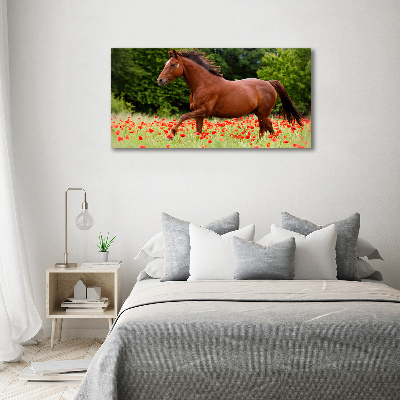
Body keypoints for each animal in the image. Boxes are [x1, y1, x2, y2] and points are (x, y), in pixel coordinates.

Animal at [158, 49, 302, 139]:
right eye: (166, 63)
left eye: (172, 64)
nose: (160, 80)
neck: (203, 83)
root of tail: (269, 83)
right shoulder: (199, 113)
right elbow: (198, 131)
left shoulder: (204, 111)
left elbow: (183, 116)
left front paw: (171, 134)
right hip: (260, 112)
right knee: (269, 126)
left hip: (262, 113)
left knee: (262, 129)